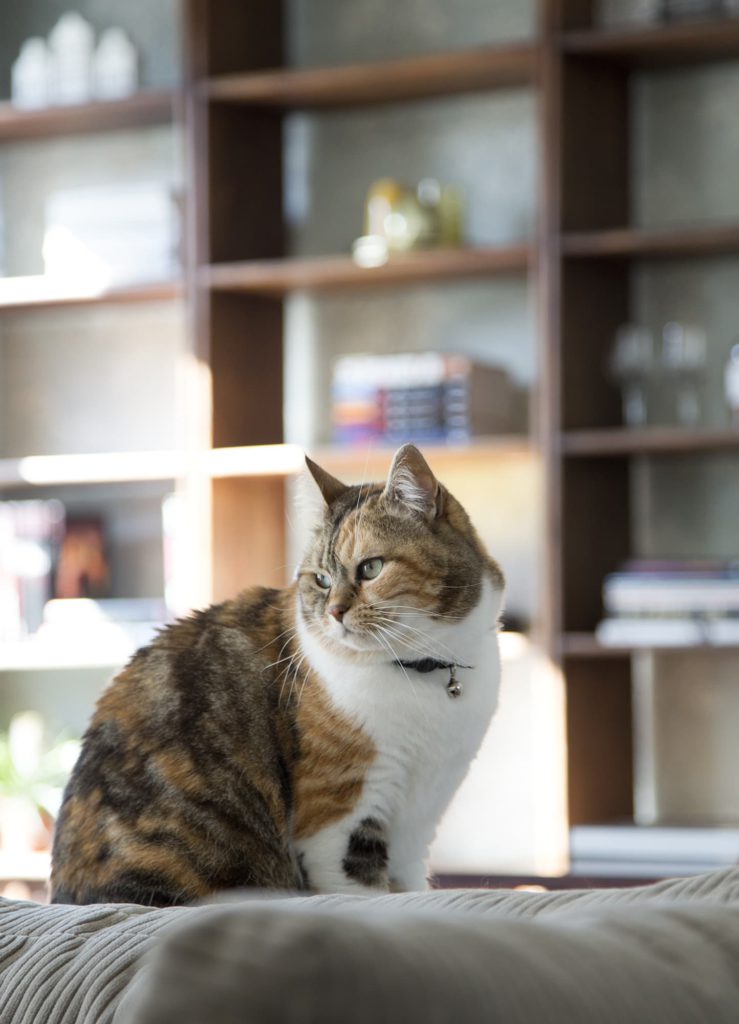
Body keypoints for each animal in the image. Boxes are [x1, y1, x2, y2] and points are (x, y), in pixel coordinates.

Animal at [50, 444, 504, 906]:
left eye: (371, 568)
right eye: (321, 580)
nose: (334, 611)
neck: (424, 671)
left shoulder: (420, 818)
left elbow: (412, 887)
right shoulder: (337, 814)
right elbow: (364, 893)